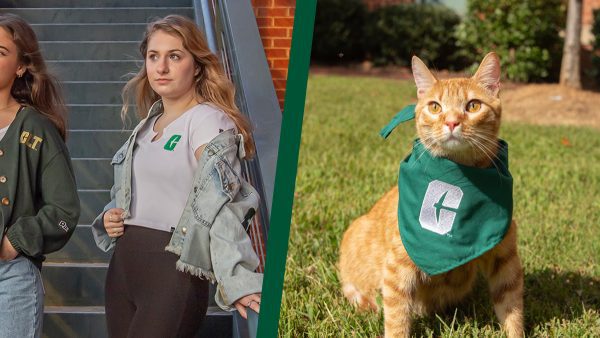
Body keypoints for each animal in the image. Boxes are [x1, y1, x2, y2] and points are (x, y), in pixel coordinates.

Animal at [340, 51, 524, 336]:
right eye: (435, 107)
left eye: (473, 106)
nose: (451, 122)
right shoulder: (397, 271)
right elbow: (396, 319)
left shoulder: (505, 259)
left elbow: (512, 308)